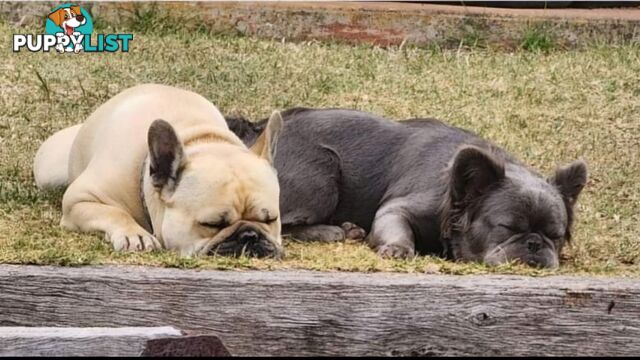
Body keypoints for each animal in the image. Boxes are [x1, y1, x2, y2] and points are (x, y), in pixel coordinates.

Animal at [228, 108, 588, 268]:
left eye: (556, 236)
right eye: (508, 228)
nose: (534, 244)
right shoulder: (397, 208)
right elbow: (396, 226)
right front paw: (399, 247)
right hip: (322, 176)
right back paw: (334, 231)